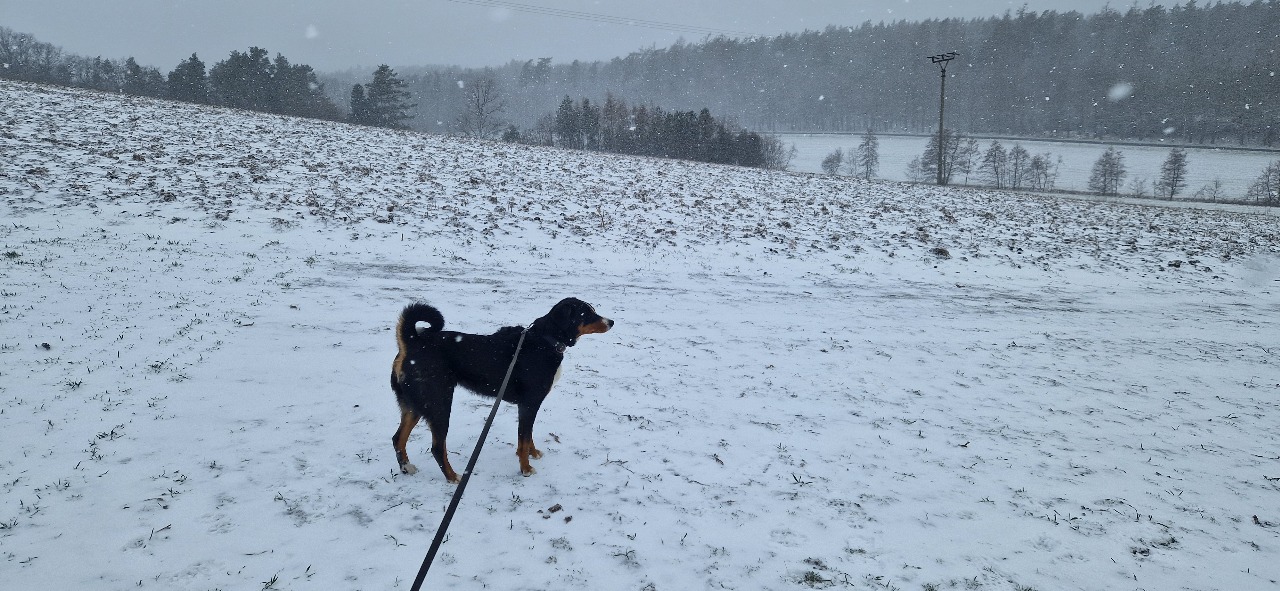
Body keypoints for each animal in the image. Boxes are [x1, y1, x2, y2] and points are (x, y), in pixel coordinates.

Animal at [391, 298, 613, 481]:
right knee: (437, 448)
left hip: (414, 405)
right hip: (439, 404)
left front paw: (533, 454)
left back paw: (406, 468)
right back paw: (453, 477)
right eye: (587, 313)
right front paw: (525, 468)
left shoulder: (528, 406)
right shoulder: (529, 404)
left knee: (398, 438)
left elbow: (528, 437)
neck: (545, 340)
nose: (611, 321)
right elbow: (524, 438)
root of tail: (412, 342)